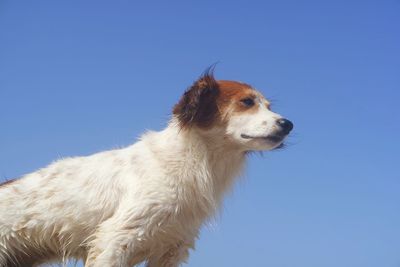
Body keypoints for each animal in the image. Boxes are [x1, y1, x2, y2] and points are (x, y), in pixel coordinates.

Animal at [0, 69, 294, 267]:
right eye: (247, 102)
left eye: (268, 106)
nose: (288, 124)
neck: (191, 161)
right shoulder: (114, 239)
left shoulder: (172, 248)